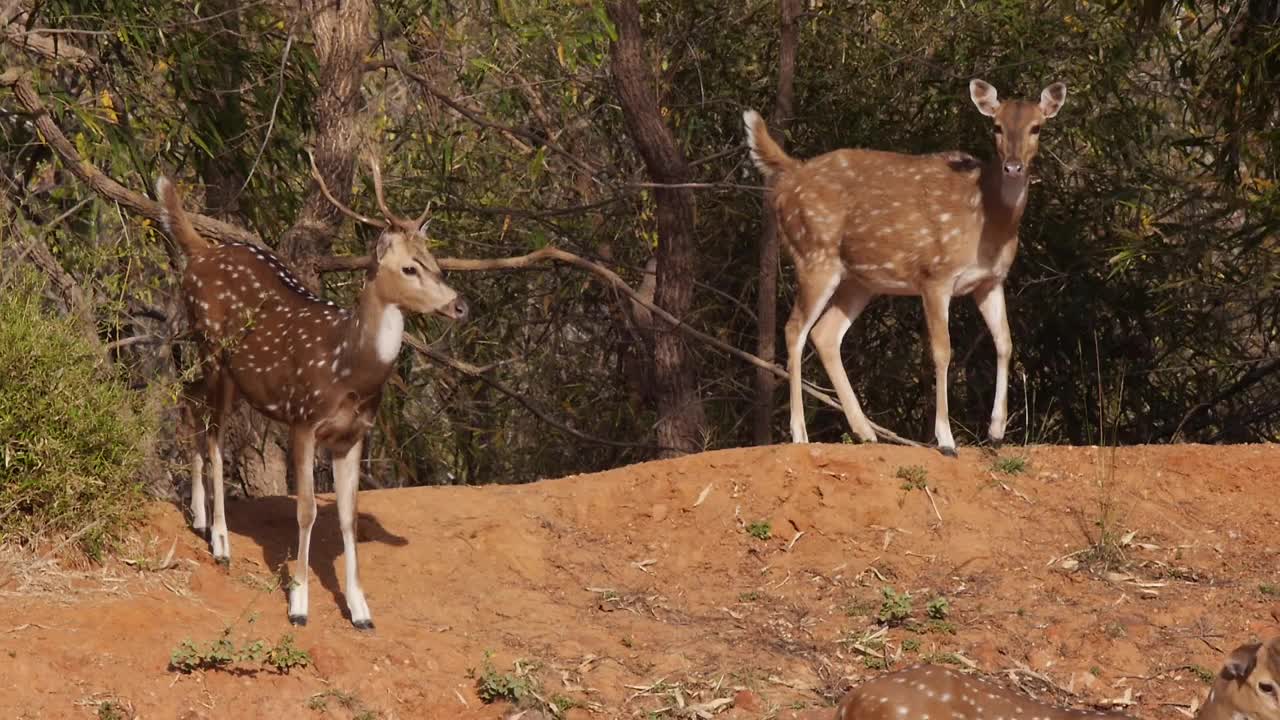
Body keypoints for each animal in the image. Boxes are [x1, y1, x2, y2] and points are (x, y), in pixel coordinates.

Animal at [154, 154, 465, 625]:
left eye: (437, 263)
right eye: (409, 267)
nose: (459, 305)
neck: (348, 368)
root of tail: (203, 250)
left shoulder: (353, 435)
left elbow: (348, 516)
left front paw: (360, 609)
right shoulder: (302, 420)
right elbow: (306, 510)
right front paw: (299, 604)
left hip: (226, 372)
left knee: (189, 402)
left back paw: (200, 518)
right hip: (213, 350)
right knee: (214, 434)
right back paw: (221, 541)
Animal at [747, 75, 1064, 450]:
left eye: (1036, 127)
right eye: (997, 127)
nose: (1013, 167)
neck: (989, 221)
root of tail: (791, 175)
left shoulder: (990, 280)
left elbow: (1005, 342)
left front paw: (996, 431)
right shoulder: (935, 274)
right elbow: (942, 350)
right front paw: (945, 438)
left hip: (858, 280)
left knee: (825, 333)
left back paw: (867, 432)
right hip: (814, 254)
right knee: (794, 328)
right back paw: (800, 434)